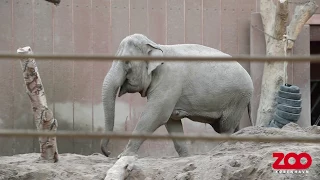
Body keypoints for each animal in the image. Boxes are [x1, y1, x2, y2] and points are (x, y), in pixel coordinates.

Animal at [100, 33, 252, 158]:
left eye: (127, 62)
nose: (108, 153)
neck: (157, 46)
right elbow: (171, 121)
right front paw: (186, 156)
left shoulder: (169, 81)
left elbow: (156, 115)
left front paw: (123, 155)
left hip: (237, 98)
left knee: (226, 127)